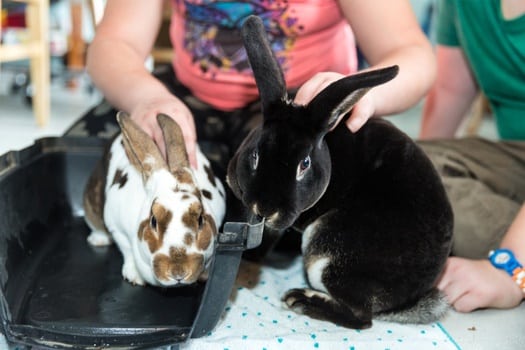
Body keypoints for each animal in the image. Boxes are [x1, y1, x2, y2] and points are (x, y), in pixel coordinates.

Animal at [83, 112, 225, 288]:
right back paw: (98, 240)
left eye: (200, 220)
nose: (178, 273)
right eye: (153, 221)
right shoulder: (116, 226)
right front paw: (135, 276)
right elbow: (127, 249)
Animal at [227, 15, 452, 328]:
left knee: (360, 317)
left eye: (304, 164)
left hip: (325, 253)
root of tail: (409, 299)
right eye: (256, 154)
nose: (265, 209)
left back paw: (300, 299)